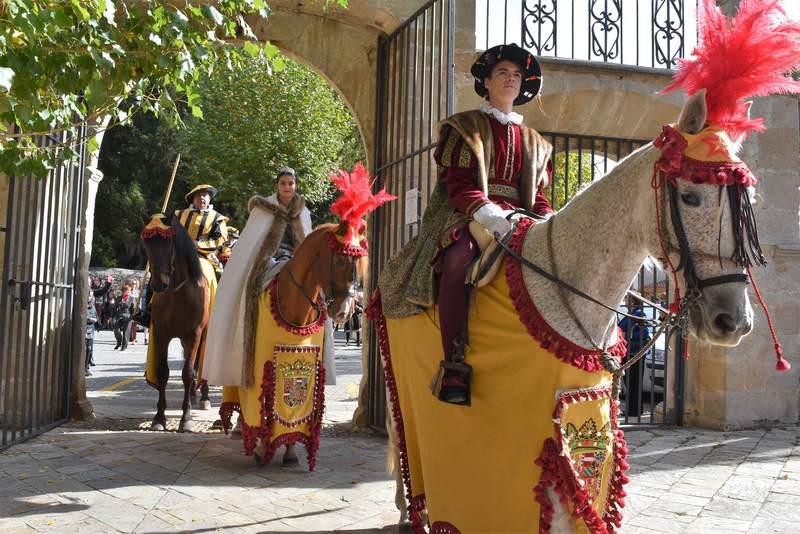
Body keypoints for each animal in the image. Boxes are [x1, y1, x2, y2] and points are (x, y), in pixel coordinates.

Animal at [141, 216, 211, 434]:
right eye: (145, 244)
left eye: (169, 243)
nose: (158, 284)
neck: (177, 293)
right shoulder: (161, 334)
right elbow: (163, 372)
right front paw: (159, 418)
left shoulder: (194, 335)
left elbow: (187, 373)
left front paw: (186, 418)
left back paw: (203, 397)